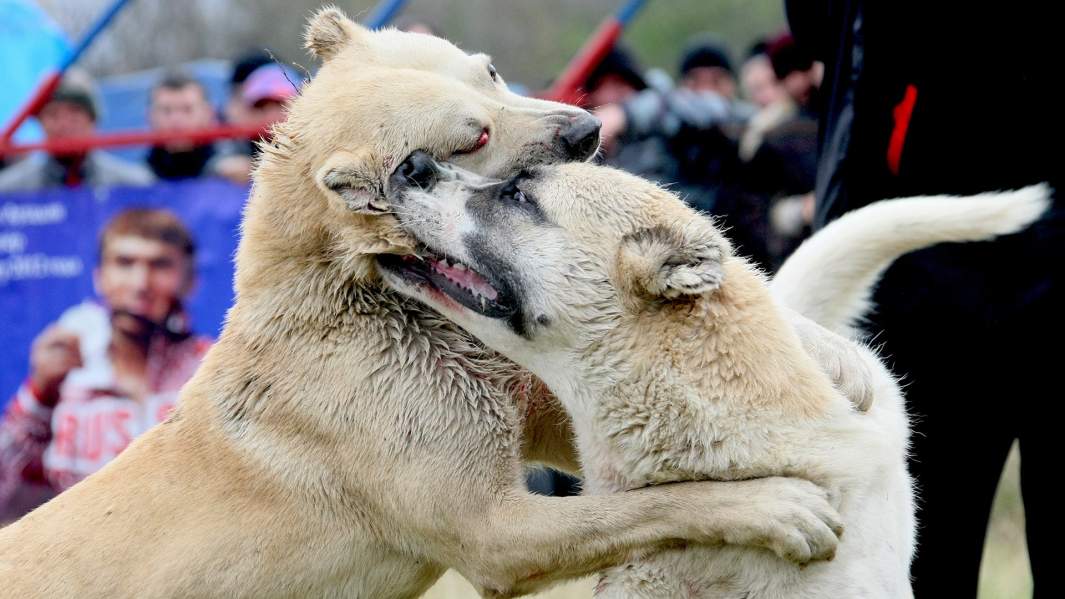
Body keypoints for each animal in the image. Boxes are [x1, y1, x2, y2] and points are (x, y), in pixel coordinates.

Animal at [0, 6, 856, 592]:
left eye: (489, 72)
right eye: (471, 137)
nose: (586, 126)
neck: (366, 297)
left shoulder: (517, 382)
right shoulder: (490, 526)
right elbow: (636, 507)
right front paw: (773, 505)